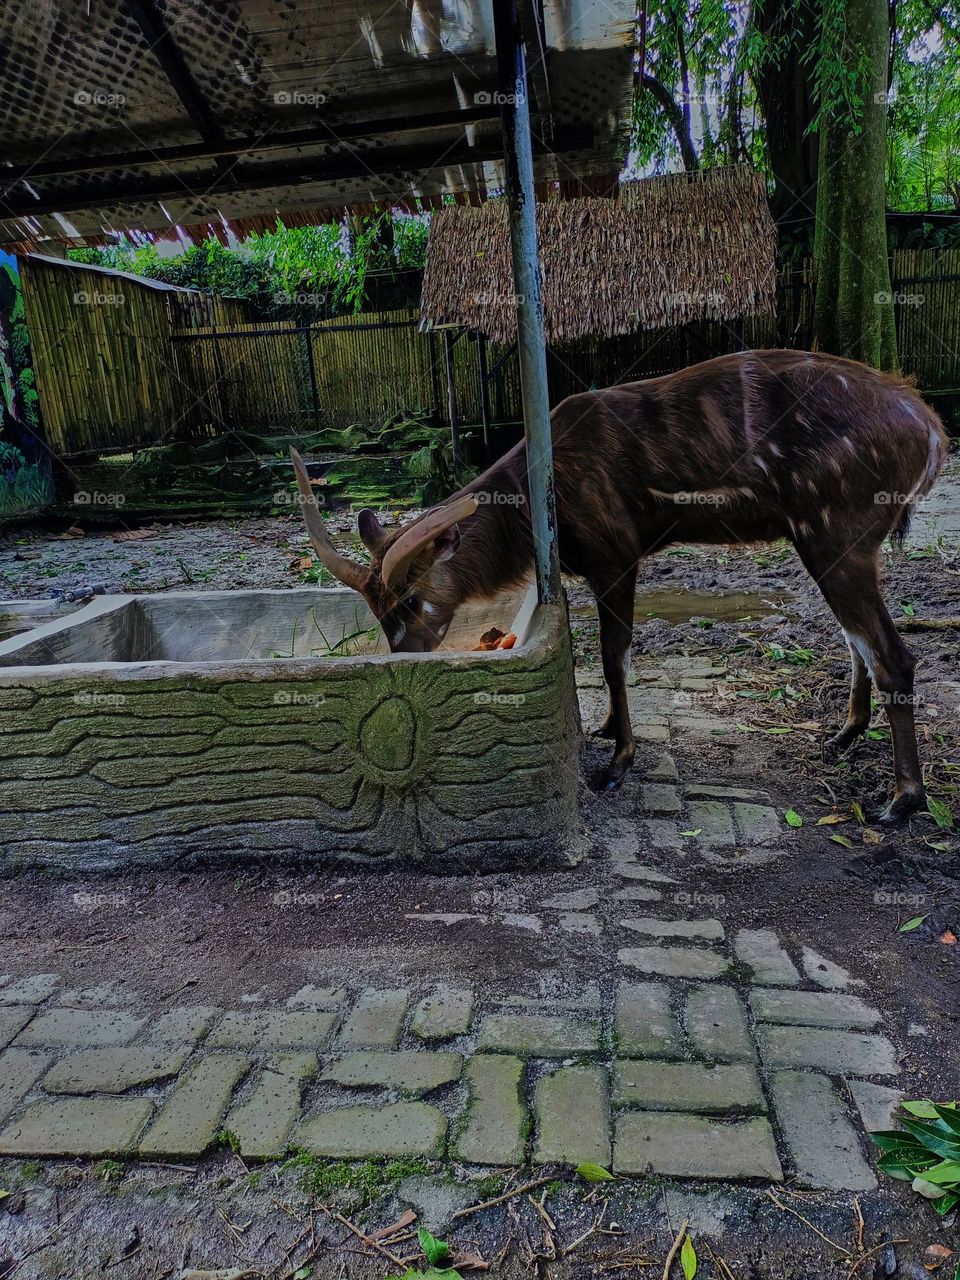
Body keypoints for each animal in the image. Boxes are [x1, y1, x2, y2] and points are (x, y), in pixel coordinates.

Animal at [292, 349, 948, 825]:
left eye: (408, 598)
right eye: (376, 610)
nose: (402, 656)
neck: (540, 493)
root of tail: (931, 430)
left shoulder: (617, 558)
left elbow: (613, 655)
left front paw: (615, 763)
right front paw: (607, 730)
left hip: (837, 538)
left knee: (894, 653)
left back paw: (901, 801)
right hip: (827, 545)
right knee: (858, 639)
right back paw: (842, 736)